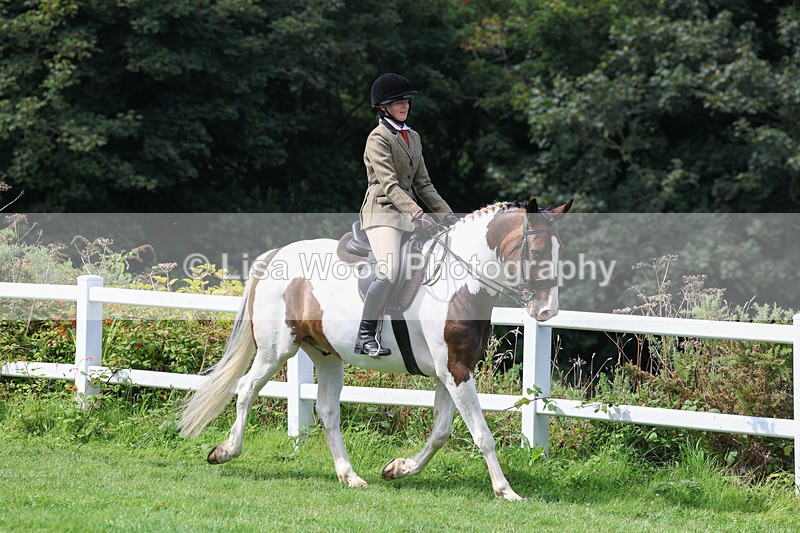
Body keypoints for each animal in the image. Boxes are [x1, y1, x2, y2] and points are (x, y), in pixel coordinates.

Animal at [178, 198, 572, 500]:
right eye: (537, 251)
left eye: (560, 252)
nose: (547, 311)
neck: (459, 282)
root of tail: (276, 254)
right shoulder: (456, 371)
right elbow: (482, 434)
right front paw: (505, 490)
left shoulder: (450, 372)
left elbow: (441, 432)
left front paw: (398, 469)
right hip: (276, 350)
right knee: (246, 389)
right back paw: (225, 452)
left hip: (326, 355)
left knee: (327, 411)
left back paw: (349, 475)